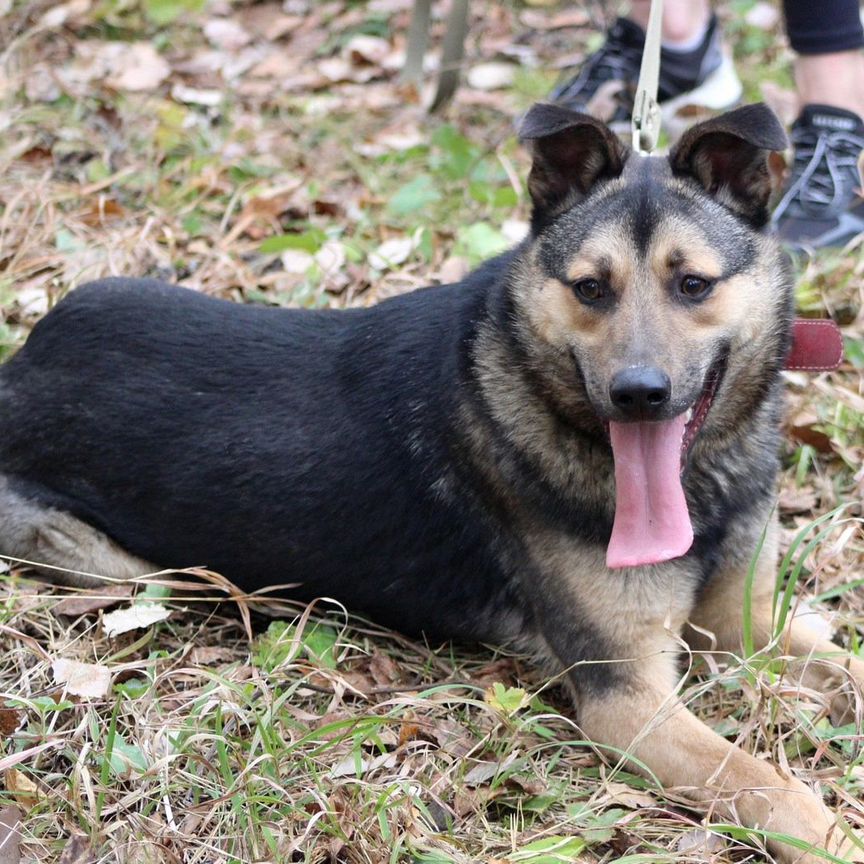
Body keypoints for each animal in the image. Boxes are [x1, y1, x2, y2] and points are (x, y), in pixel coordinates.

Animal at [1, 104, 864, 860]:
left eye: (693, 285)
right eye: (591, 288)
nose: (638, 394)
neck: (697, 487)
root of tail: (19, 370)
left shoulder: (744, 627)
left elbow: (843, 664)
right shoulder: (629, 701)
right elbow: (765, 781)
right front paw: (832, 837)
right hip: (130, 569)